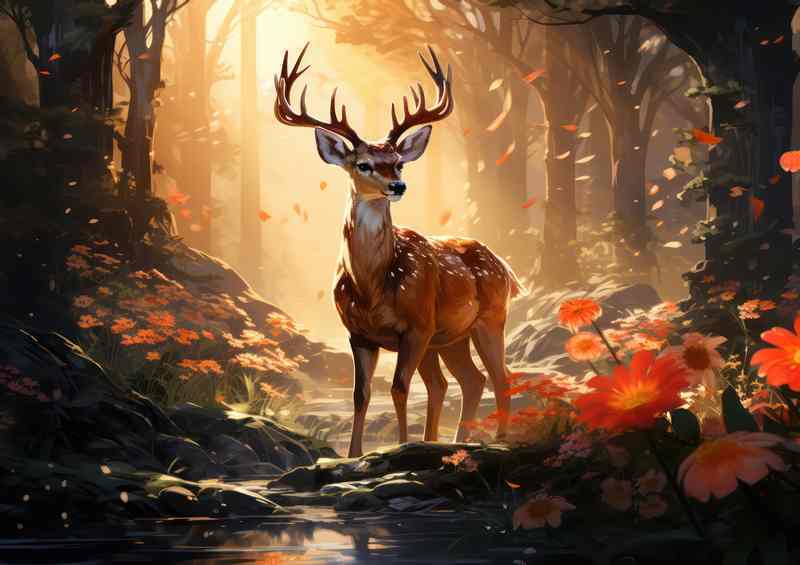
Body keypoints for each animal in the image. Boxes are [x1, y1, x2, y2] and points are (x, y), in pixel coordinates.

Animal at [274, 44, 528, 457]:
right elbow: (361, 394)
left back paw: (498, 440)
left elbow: (398, 387)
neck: (372, 286)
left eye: (397, 163)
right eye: (363, 164)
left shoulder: (415, 326)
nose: (398, 185)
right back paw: (454, 441)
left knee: (500, 377)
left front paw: (402, 444)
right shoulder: (357, 334)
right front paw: (355, 454)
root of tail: (504, 265)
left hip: (489, 318)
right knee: (467, 381)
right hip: (448, 337)